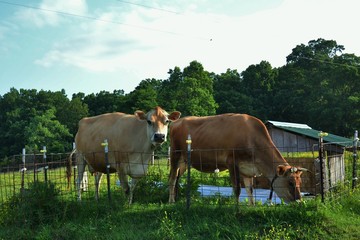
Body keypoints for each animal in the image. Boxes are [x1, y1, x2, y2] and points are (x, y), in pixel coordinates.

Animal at [168, 113, 306, 203]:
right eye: (290, 182)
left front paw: (252, 207)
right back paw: (171, 201)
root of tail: (176, 122)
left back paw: (177, 199)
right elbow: (237, 189)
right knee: (172, 179)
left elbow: (250, 190)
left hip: (184, 161)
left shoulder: (248, 169)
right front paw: (237, 209)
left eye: (300, 182)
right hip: (175, 154)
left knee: (177, 178)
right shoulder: (231, 162)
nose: (299, 201)